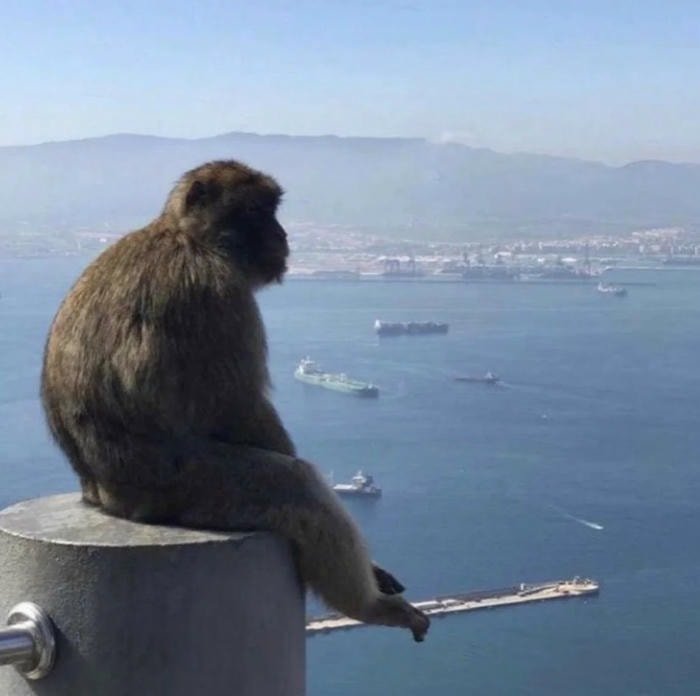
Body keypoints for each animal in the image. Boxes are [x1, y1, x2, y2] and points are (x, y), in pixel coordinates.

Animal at [41, 160, 429, 642]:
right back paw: (369, 606)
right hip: (189, 489)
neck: (187, 237)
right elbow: (241, 411)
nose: (282, 233)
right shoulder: (216, 292)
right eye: (257, 211)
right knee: (296, 485)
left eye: (272, 210)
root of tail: (102, 496)